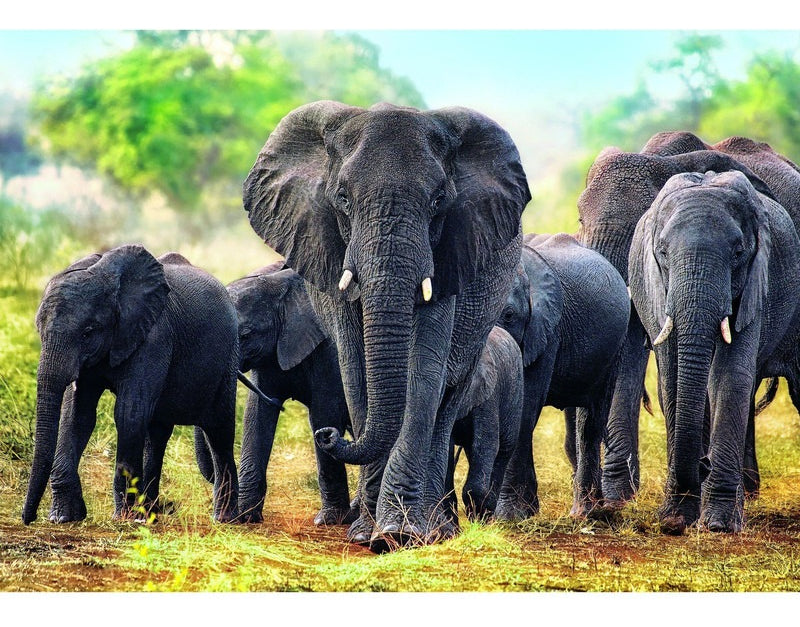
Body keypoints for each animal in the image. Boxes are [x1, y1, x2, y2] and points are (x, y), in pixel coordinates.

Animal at [21, 246, 240, 525]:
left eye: (88, 332)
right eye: (39, 329)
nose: (27, 518)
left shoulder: (155, 337)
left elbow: (129, 413)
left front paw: (122, 518)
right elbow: (77, 415)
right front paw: (64, 517)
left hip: (228, 359)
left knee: (219, 430)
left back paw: (226, 518)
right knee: (157, 434)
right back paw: (151, 513)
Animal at [223, 262, 358, 526]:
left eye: (245, 335)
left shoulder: (330, 350)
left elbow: (323, 414)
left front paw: (329, 521)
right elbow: (257, 414)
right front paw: (244, 517)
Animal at [448, 325, 523, 522]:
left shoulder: (489, 393)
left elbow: (486, 444)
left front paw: (477, 518)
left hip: (516, 393)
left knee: (504, 449)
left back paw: (487, 514)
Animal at [493, 233, 630, 519]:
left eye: (509, 315)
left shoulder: (546, 332)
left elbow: (524, 409)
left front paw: (511, 517)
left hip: (615, 349)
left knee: (590, 425)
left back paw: (585, 513)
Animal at [629, 170, 800, 534]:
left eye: (737, 252)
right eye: (662, 253)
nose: (703, 464)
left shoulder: (756, 284)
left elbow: (728, 377)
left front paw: (719, 524)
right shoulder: (655, 291)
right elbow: (673, 380)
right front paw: (676, 519)